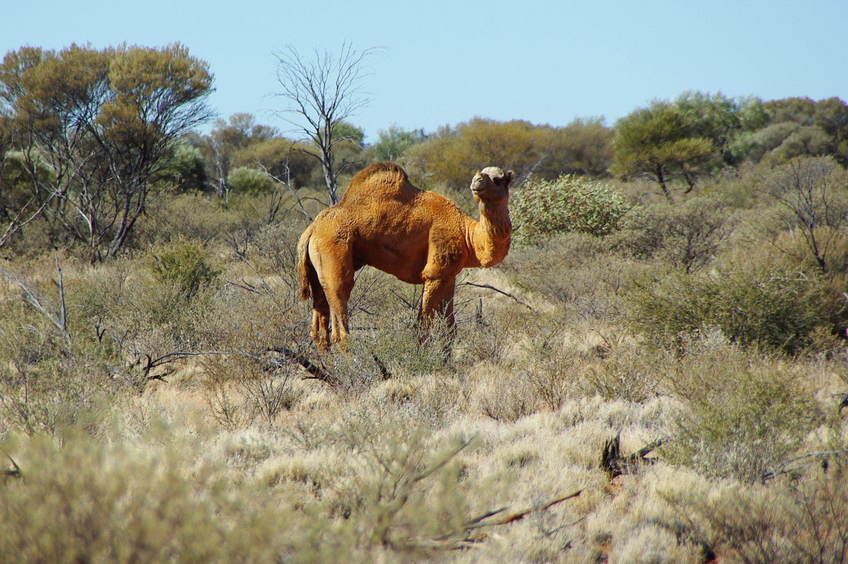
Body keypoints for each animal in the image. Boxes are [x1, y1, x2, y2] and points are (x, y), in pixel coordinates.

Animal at [294, 161, 512, 350]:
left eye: (498, 179)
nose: (477, 181)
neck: (467, 234)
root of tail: (311, 230)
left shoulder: (448, 276)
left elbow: (450, 329)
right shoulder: (434, 274)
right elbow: (424, 327)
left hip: (317, 271)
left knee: (319, 326)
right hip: (334, 255)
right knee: (340, 318)